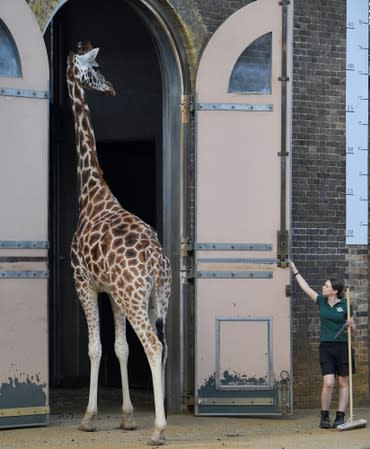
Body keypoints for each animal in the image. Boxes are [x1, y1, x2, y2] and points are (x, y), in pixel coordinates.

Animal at [65, 41, 172, 444]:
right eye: (97, 69)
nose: (110, 88)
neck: (92, 192)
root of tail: (157, 260)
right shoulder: (110, 291)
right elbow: (121, 348)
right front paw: (126, 416)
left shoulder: (82, 282)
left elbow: (96, 348)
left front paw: (89, 416)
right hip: (159, 296)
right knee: (162, 345)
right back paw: (158, 419)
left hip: (134, 295)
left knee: (153, 345)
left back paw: (159, 429)